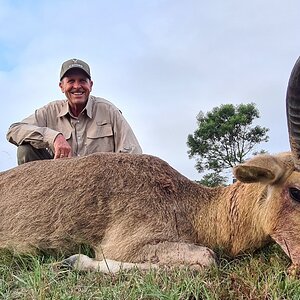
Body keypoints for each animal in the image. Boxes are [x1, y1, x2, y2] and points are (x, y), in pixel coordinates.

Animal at [1, 56, 300, 274]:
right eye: (296, 191)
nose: (295, 269)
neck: (189, 202)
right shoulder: (123, 245)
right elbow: (207, 258)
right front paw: (71, 260)